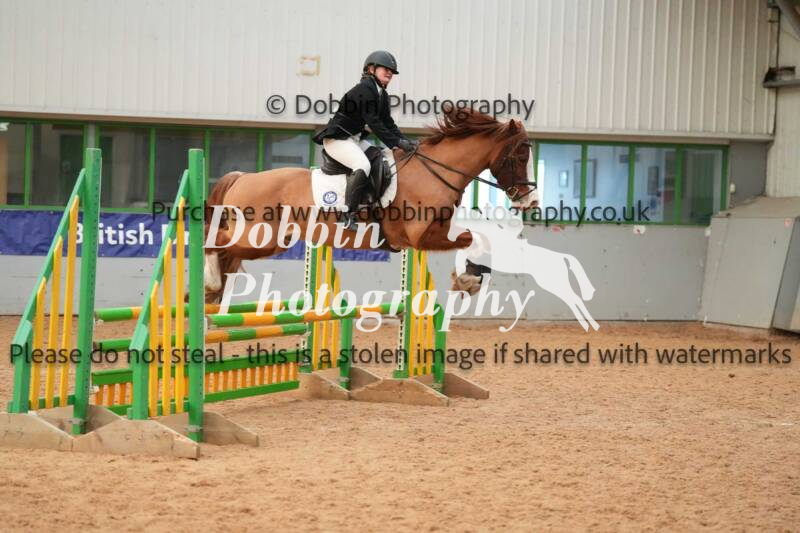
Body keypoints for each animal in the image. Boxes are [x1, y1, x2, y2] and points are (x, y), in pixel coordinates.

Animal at [203, 105, 538, 302]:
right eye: (521, 154)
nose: (532, 201)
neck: (434, 171)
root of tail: (241, 177)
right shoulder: (421, 236)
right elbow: (476, 238)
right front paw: (468, 279)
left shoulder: (442, 228)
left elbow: (480, 238)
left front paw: (468, 279)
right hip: (256, 237)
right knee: (212, 239)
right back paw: (209, 282)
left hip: (269, 242)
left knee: (226, 251)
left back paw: (214, 291)